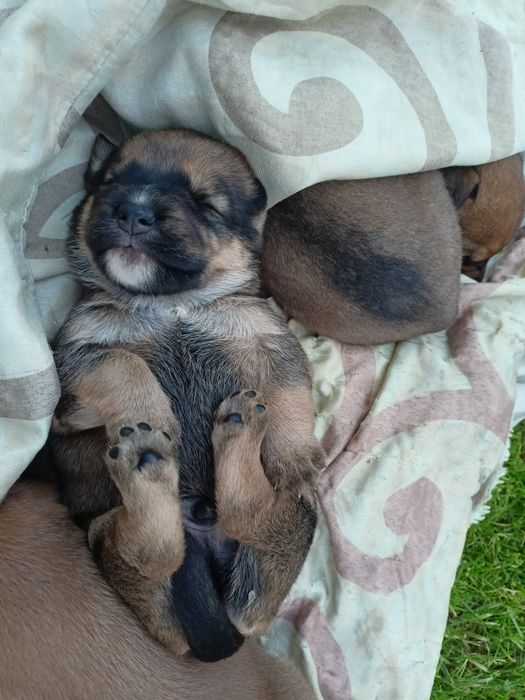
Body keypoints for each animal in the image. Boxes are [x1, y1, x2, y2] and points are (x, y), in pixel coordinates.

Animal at [50, 130, 324, 660]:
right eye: (111, 181)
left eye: (206, 204)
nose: (133, 211)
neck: (174, 304)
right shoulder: (78, 352)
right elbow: (125, 364)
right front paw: (153, 416)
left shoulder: (273, 341)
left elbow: (291, 392)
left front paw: (296, 456)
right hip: (106, 536)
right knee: (156, 553)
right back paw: (146, 457)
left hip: (294, 522)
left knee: (248, 516)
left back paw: (238, 432)